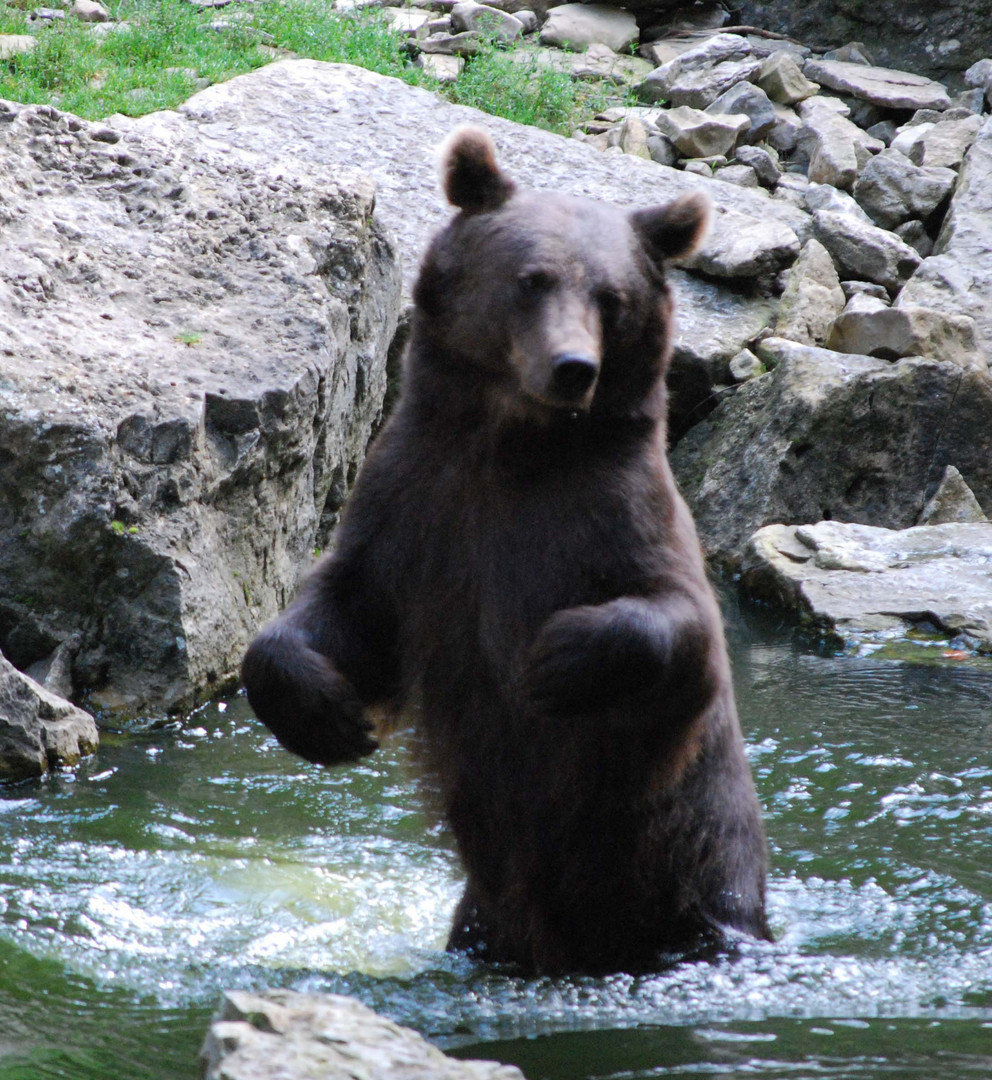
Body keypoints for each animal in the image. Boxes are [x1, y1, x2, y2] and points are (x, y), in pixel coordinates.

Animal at [243, 126, 772, 980]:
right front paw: (329, 716)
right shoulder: (416, 505)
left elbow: (680, 622)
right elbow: (345, 605)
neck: (509, 446)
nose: (572, 368)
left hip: (696, 876)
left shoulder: (612, 510)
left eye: (611, 298)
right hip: (487, 920)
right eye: (532, 280)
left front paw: (556, 660)